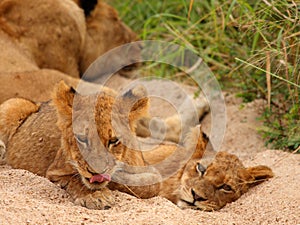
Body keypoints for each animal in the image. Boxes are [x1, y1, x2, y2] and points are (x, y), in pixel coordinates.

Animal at [0, 81, 274, 211]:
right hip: (15, 104)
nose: (96, 172)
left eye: (114, 141)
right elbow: (75, 180)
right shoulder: (54, 170)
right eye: (81, 139)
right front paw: (96, 196)